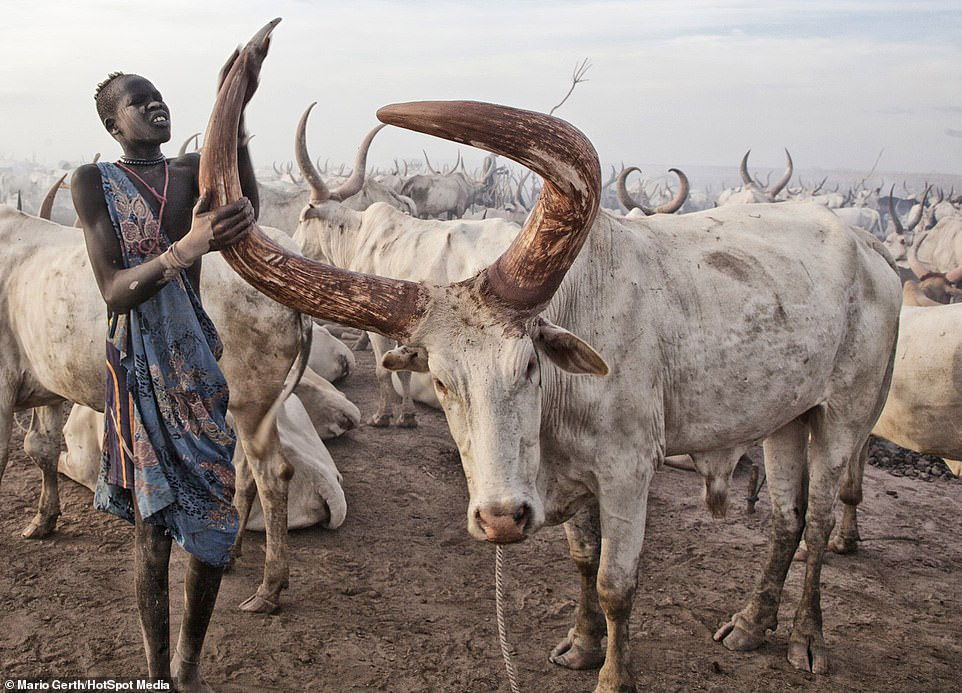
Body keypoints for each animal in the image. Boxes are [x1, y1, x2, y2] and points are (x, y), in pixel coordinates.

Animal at [202, 67, 900, 688]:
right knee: (786, 519)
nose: (501, 519)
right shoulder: (573, 480)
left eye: (530, 364)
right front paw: (583, 646)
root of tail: (873, 254)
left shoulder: (627, 473)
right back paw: (752, 625)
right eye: (443, 381)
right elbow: (582, 561)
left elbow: (617, 584)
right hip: (786, 420)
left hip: (843, 417)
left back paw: (806, 642)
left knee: (817, 522)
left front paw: (614, 677)